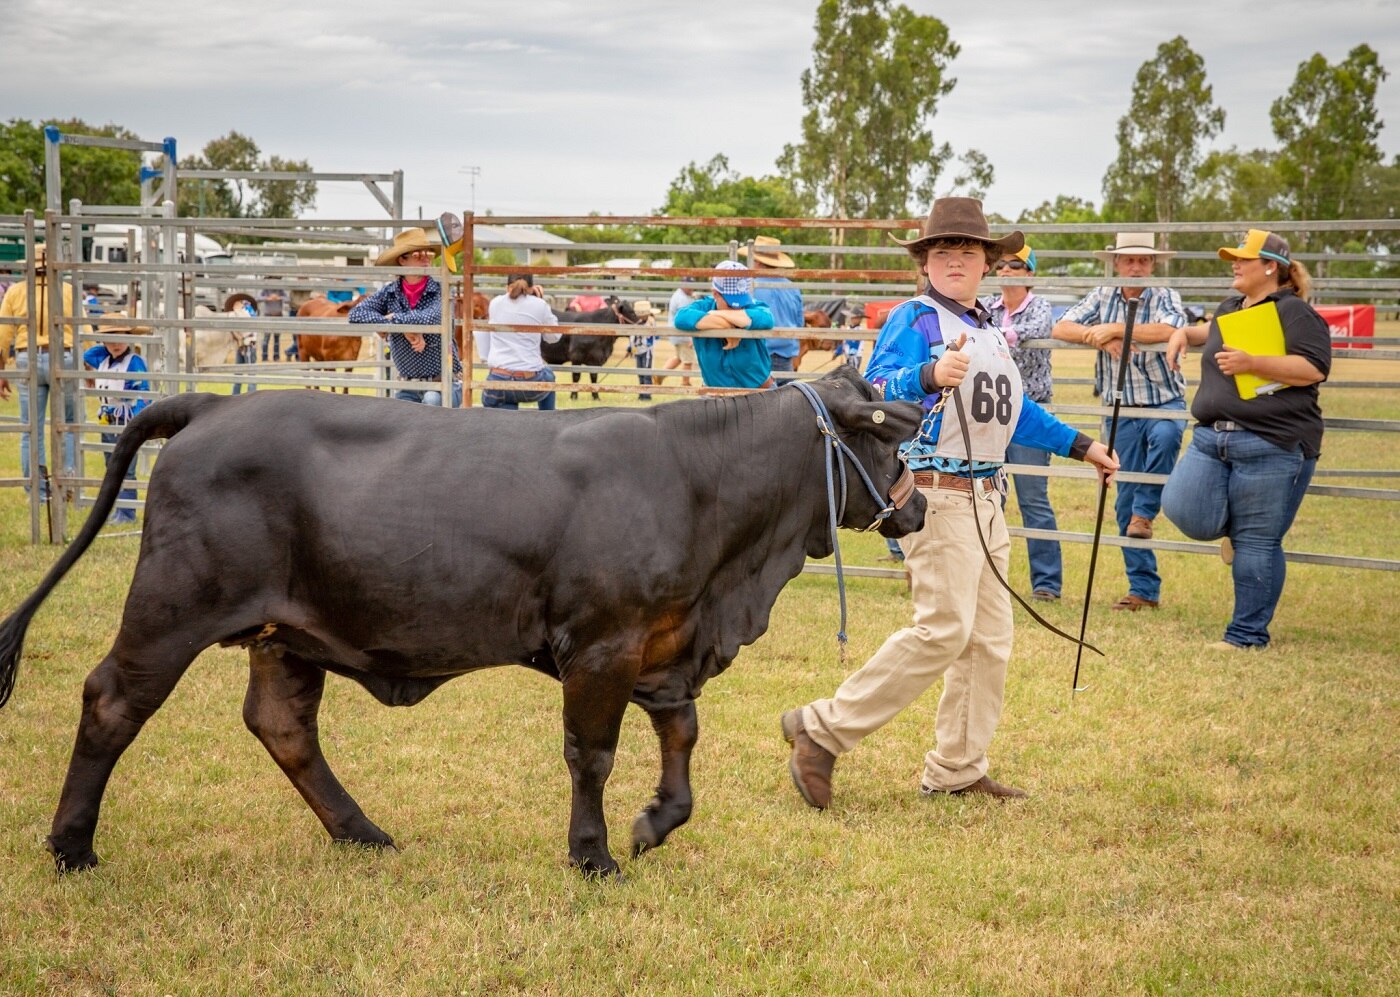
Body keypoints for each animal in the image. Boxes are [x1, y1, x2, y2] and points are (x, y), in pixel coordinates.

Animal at [0, 366, 924, 878]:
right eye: (886, 440)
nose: (915, 508)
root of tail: (212, 408)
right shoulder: (603, 644)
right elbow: (592, 754)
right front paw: (592, 853)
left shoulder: (664, 642)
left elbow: (682, 737)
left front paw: (656, 822)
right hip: (173, 605)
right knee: (112, 701)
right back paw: (72, 846)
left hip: (285, 631)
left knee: (283, 726)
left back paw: (363, 832)